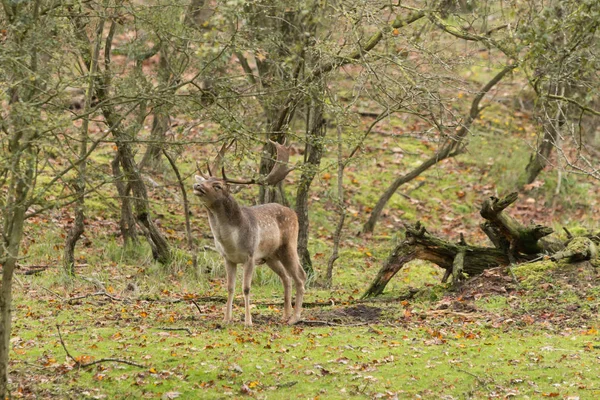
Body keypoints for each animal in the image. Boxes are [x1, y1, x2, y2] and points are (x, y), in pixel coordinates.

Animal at [193, 139, 308, 326]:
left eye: (217, 185)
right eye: (206, 180)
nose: (197, 185)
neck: (231, 241)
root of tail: (293, 213)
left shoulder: (250, 255)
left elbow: (246, 288)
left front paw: (248, 322)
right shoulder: (228, 258)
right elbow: (230, 287)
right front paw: (226, 319)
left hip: (289, 245)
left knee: (300, 276)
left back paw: (295, 318)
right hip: (271, 256)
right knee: (286, 278)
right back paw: (285, 315)